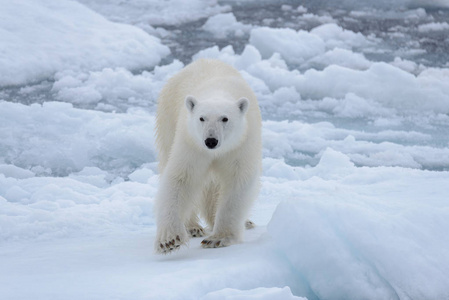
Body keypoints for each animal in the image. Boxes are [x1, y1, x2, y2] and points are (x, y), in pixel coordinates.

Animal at [153, 58, 260, 253]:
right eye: (201, 118)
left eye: (225, 118)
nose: (211, 141)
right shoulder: (191, 143)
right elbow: (181, 178)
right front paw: (169, 240)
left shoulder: (241, 144)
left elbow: (238, 180)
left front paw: (218, 238)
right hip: (167, 120)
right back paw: (193, 227)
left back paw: (245, 222)